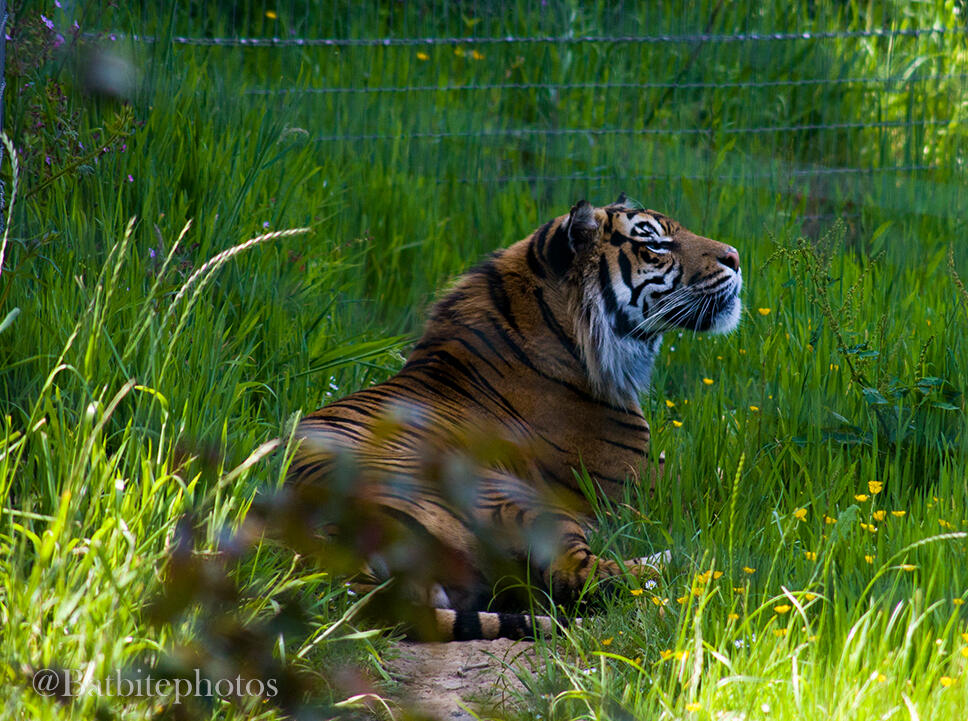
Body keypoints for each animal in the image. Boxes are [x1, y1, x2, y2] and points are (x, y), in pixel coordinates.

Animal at [283, 194, 742, 641]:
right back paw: (699, 556)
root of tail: (327, 544)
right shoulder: (639, 486)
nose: (736, 257)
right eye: (655, 244)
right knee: (582, 577)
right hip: (519, 500)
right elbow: (719, 486)